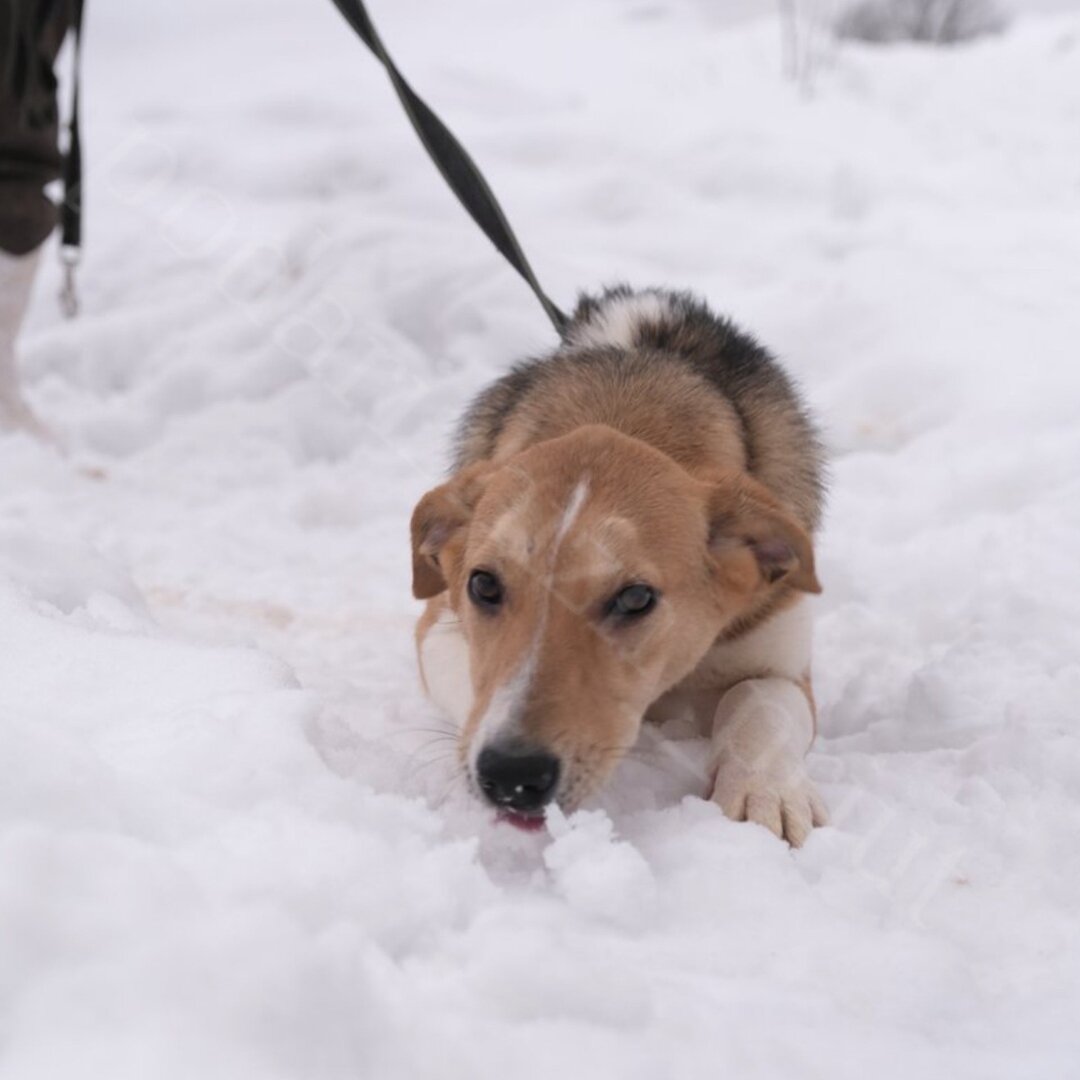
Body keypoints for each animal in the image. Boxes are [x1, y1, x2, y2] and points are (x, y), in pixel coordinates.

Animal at [410, 287, 825, 842]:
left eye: (635, 598)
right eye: (484, 585)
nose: (512, 776)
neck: (626, 408)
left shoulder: (780, 656)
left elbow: (759, 700)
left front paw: (765, 790)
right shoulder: (438, 627)